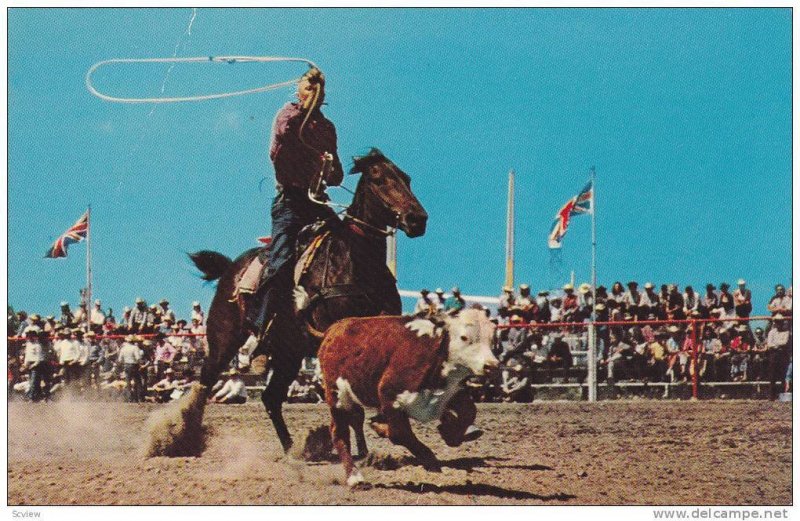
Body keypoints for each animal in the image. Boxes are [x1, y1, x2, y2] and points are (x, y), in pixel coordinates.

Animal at [188, 148, 428, 452]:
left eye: (406, 179)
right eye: (379, 178)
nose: (417, 219)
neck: (354, 261)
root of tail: (231, 269)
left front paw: (375, 440)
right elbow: (350, 406)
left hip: (288, 353)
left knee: (271, 397)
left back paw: (292, 449)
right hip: (224, 340)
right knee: (205, 381)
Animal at [316, 306, 496, 486]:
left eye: (491, 338)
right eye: (464, 337)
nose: (492, 365)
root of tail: (334, 328)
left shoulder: (448, 392)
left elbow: (469, 411)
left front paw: (450, 434)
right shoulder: (390, 398)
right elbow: (399, 434)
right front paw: (431, 462)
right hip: (338, 397)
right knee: (340, 432)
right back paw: (355, 477)